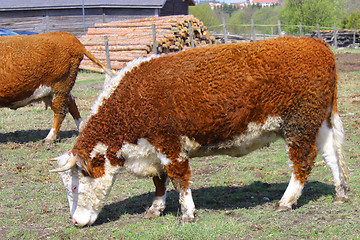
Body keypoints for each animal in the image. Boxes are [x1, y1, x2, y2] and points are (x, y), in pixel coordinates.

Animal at [50, 36, 348, 226]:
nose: (75, 221)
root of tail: (315, 43)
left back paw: (287, 200)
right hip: (319, 123)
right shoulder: (153, 149)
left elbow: (179, 178)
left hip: (299, 125)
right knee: (331, 155)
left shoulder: (169, 144)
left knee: (303, 162)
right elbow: (159, 181)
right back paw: (341, 192)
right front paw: (156, 208)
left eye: (75, 185)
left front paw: (187, 214)